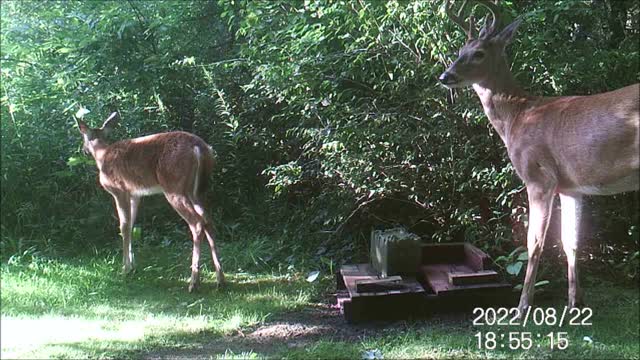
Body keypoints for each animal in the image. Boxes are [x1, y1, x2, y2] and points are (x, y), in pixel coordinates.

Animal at [76, 113, 225, 292]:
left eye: (83, 137)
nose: (83, 150)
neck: (102, 154)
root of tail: (199, 148)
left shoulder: (119, 190)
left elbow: (123, 226)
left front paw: (125, 269)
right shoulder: (135, 195)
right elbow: (131, 225)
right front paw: (133, 266)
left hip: (174, 186)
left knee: (196, 223)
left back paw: (193, 283)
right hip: (197, 191)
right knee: (208, 221)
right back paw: (220, 280)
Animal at [440, 0, 640, 314]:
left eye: (479, 53)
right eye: (460, 50)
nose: (445, 76)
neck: (518, 115)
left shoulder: (538, 176)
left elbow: (533, 242)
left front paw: (522, 305)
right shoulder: (571, 187)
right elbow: (571, 241)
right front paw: (575, 302)